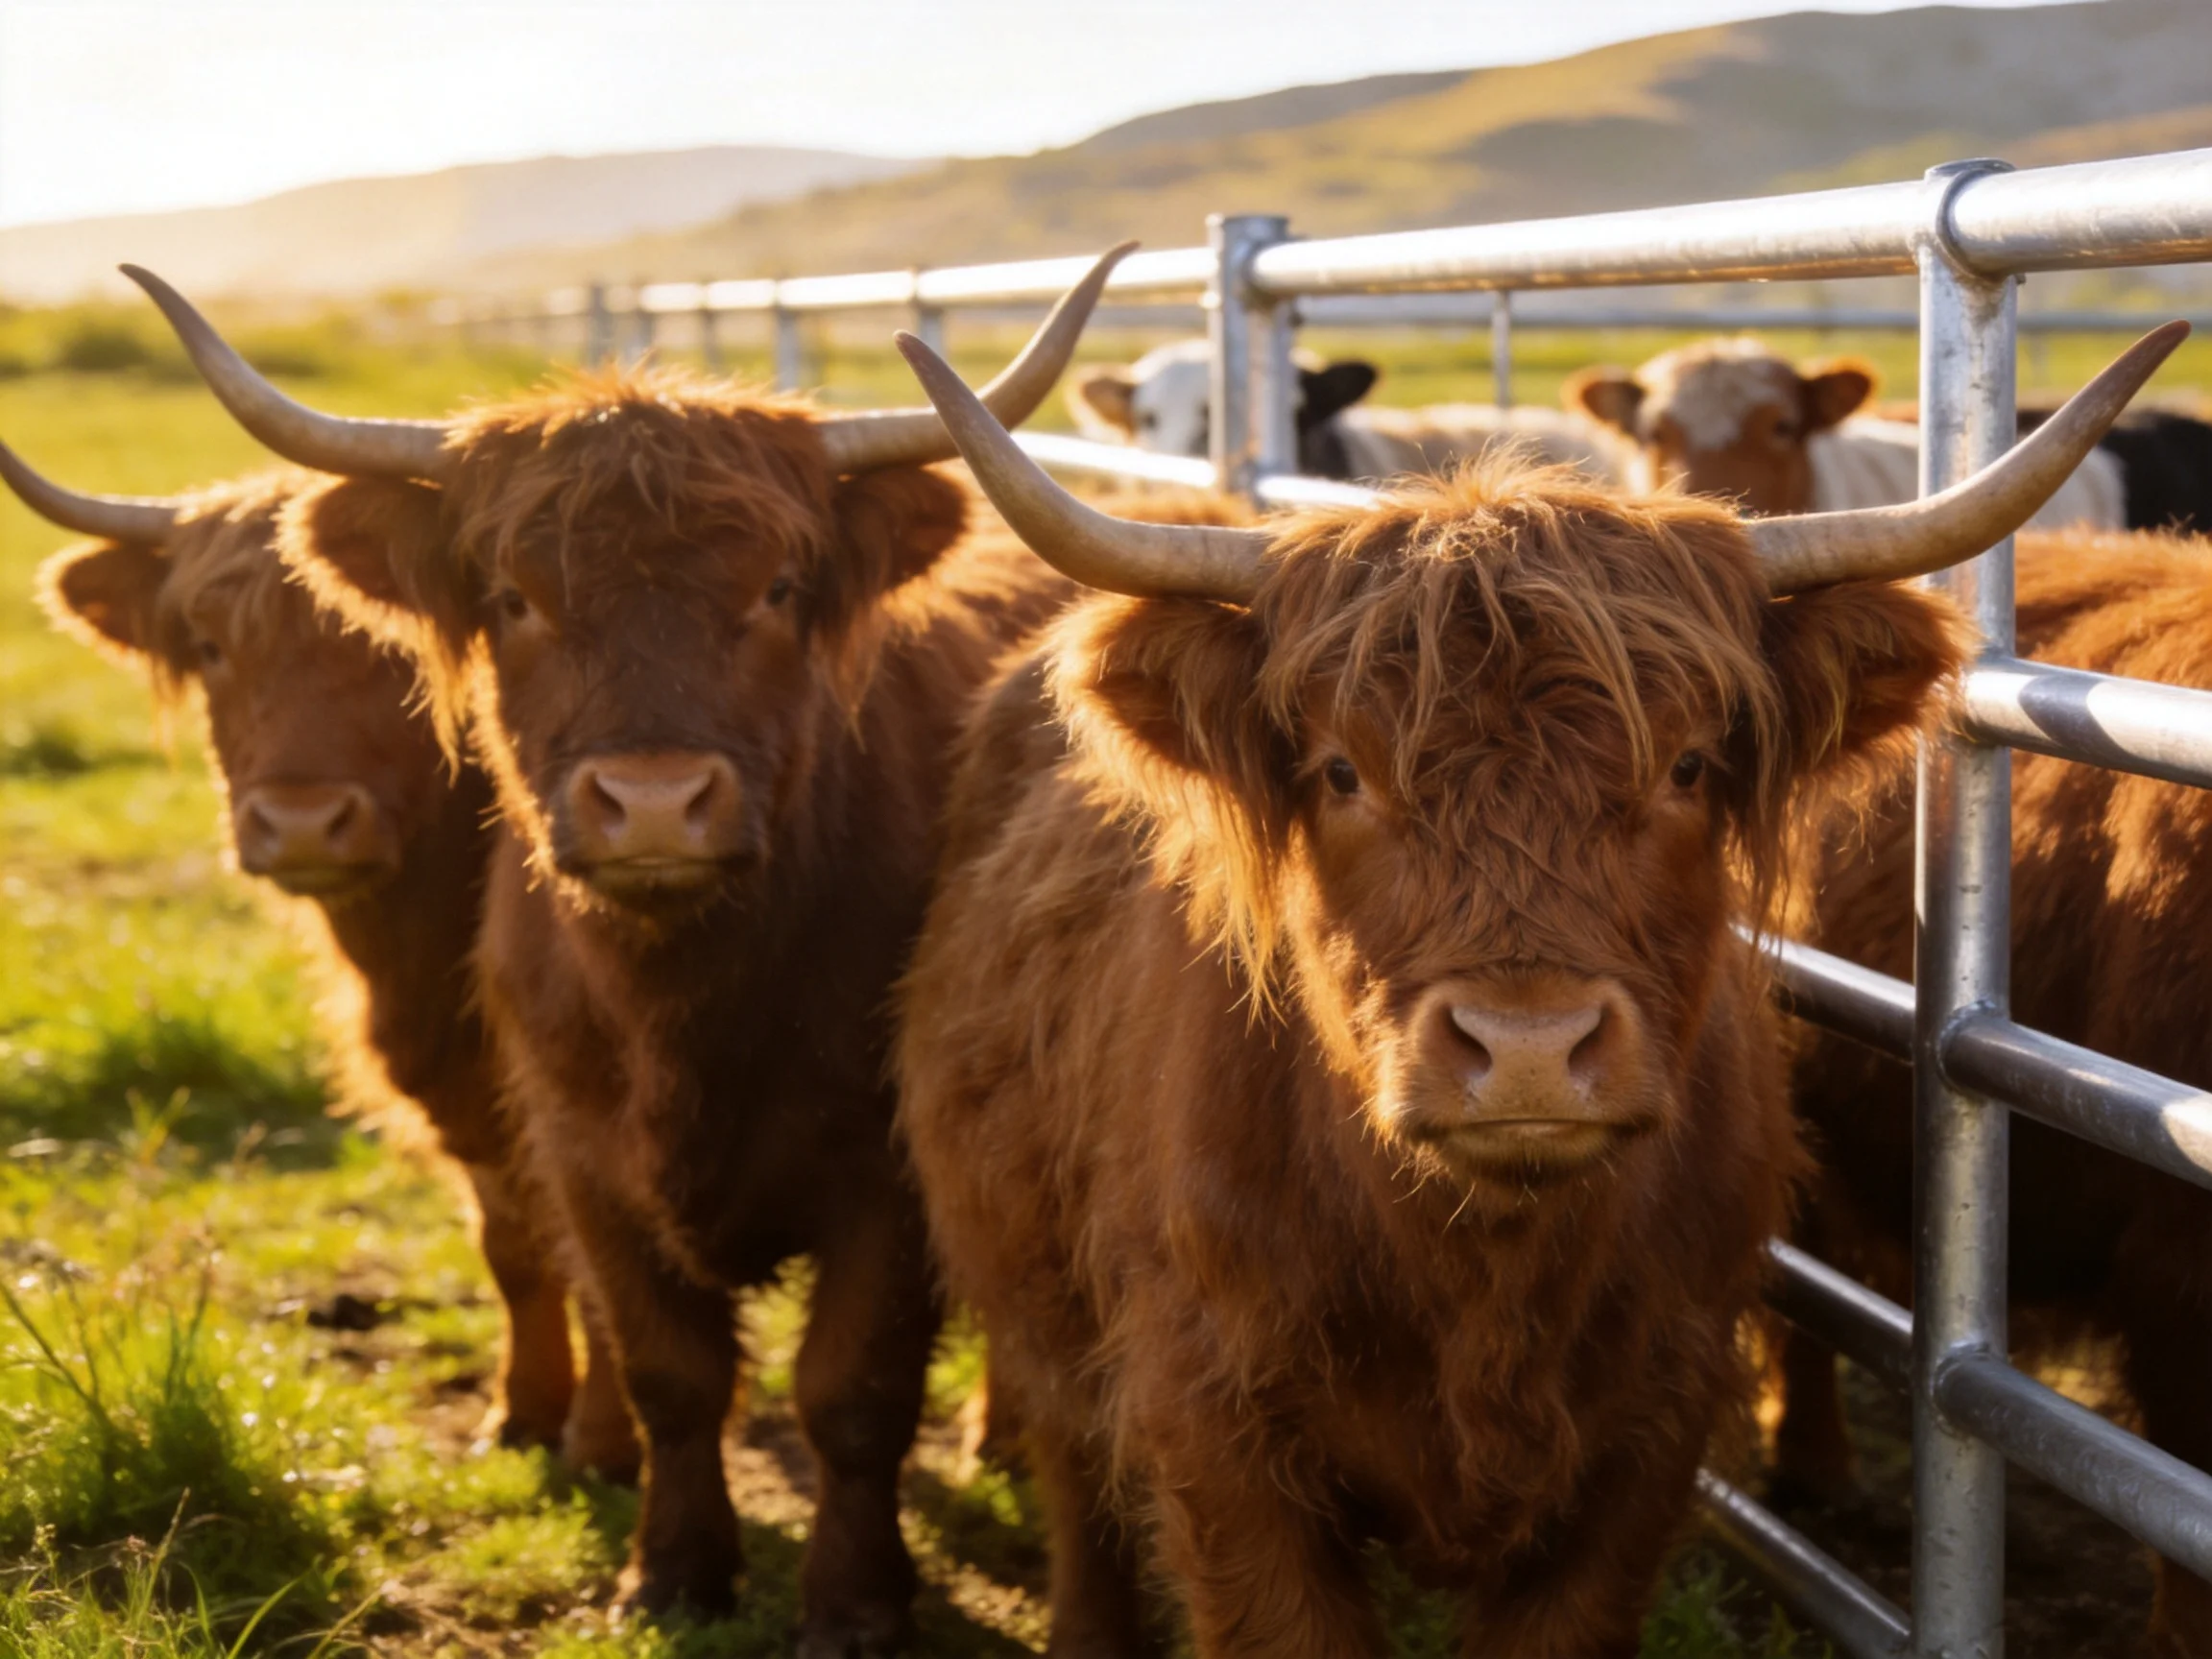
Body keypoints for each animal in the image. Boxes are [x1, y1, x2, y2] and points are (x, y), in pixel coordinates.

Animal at [4, 451, 636, 1477]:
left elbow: (601, 1255)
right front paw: (522, 1414)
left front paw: (606, 1443)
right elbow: (511, 1243)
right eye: (210, 646)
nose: (301, 824)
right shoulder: (467, 1102)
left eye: (392, 650)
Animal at [131, 250, 1123, 1648]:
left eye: (775, 587)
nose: (653, 803)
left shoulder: (887, 1174)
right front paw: (673, 1569)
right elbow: (666, 1370)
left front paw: (855, 1602)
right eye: (513, 597)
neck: (679, 1007)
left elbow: (853, 1392)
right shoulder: (577, 1150)